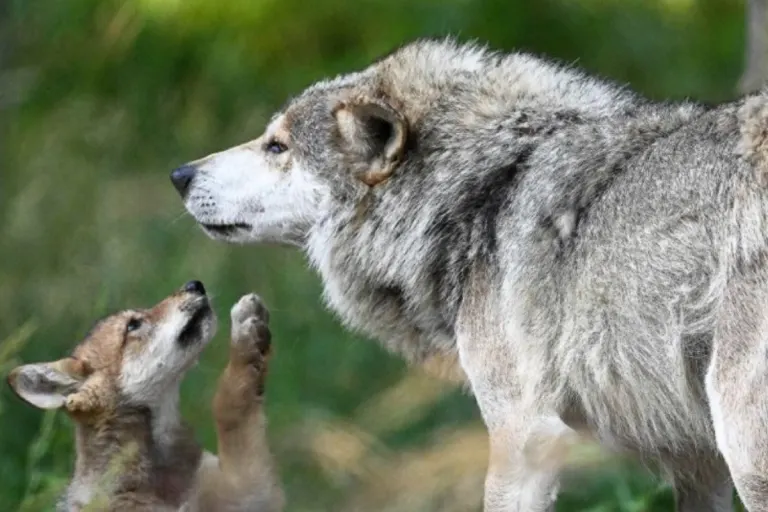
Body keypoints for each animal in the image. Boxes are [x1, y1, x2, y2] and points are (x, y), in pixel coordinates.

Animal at [170, 38, 768, 511]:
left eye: (278, 147)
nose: (179, 174)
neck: (484, 187)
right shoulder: (697, 462)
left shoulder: (522, 436)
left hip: (742, 442)